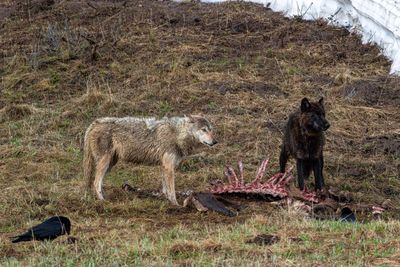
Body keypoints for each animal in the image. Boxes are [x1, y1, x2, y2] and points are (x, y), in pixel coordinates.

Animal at [82, 114, 217, 205]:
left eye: (211, 129)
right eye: (203, 130)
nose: (215, 142)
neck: (177, 134)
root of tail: (95, 122)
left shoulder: (164, 166)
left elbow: (165, 189)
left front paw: (167, 202)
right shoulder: (169, 166)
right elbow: (172, 190)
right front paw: (176, 205)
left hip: (110, 164)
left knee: (96, 181)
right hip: (105, 162)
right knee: (96, 182)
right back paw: (103, 201)